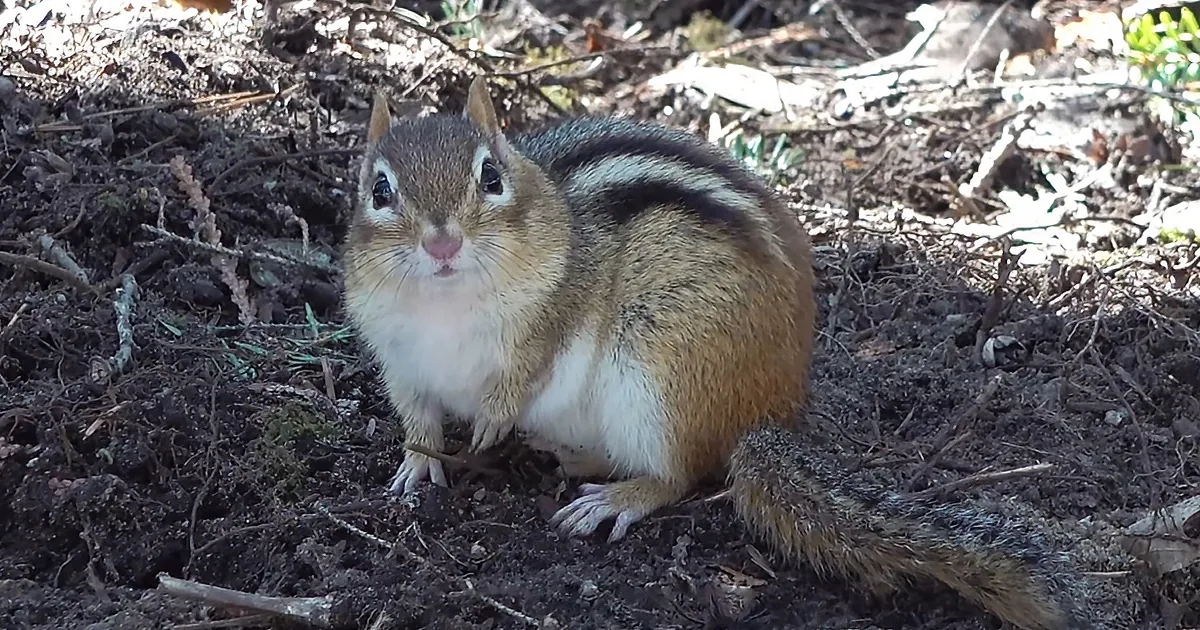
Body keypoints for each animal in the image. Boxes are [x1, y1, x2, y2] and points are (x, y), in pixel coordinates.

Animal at [340, 76, 1093, 630]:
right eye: (379, 190)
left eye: (491, 177)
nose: (442, 243)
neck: (446, 308)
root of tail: (766, 413)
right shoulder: (400, 359)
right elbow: (418, 417)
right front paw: (415, 466)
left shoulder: (555, 312)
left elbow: (528, 366)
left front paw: (493, 418)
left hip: (659, 368)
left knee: (681, 474)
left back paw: (615, 497)